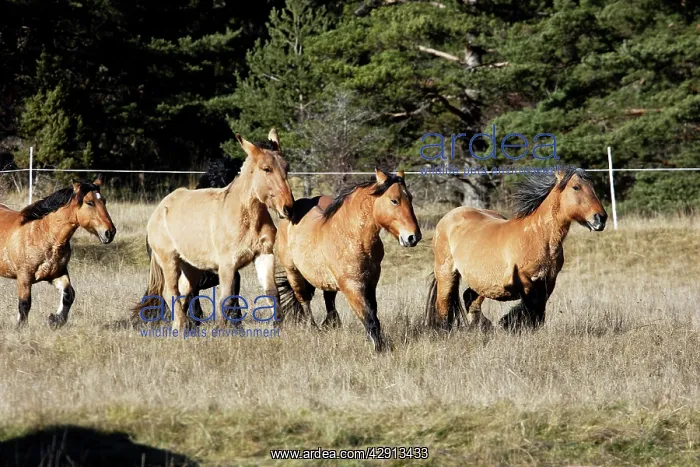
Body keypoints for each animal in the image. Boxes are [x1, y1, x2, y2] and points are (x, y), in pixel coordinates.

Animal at [0, 176, 116, 328]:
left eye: (104, 201)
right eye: (89, 202)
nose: (110, 232)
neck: (42, 234)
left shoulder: (57, 273)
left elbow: (69, 294)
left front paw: (55, 320)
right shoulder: (24, 276)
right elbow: (25, 304)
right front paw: (21, 327)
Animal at [131, 129, 295, 330]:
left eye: (286, 167)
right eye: (266, 169)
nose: (288, 208)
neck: (246, 217)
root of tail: (160, 209)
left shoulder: (264, 254)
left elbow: (272, 292)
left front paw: (277, 328)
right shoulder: (227, 264)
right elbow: (226, 299)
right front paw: (221, 330)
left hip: (190, 267)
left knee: (184, 292)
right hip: (169, 261)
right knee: (170, 293)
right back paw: (180, 326)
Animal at [276, 169, 422, 351]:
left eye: (411, 198)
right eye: (394, 200)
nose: (413, 237)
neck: (352, 237)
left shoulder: (370, 283)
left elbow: (373, 313)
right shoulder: (352, 286)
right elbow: (369, 319)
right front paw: (379, 349)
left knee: (329, 300)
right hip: (293, 272)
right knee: (304, 300)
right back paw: (313, 328)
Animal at [425, 167, 607, 331]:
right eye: (576, 187)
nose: (601, 218)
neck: (537, 236)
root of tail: (449, 216)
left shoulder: (549, 281)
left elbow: (537, 310)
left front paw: (507, 323)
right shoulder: (523, 281)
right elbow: (531, 308)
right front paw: (510, 323)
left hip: (480, 281)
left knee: (469, 298)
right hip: (446, 274)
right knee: (443, 305)